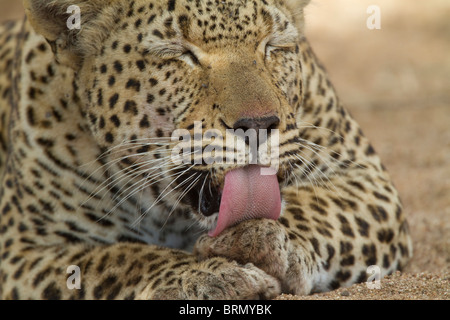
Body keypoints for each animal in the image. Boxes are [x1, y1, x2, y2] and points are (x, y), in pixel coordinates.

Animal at [0, 0, 412, 300]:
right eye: (180, 53)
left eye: (272, 45)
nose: (258, 126)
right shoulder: (21, 248)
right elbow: (116, 258)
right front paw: (206, 276)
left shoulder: (362, 175)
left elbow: (317, 209)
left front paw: (257, 238)